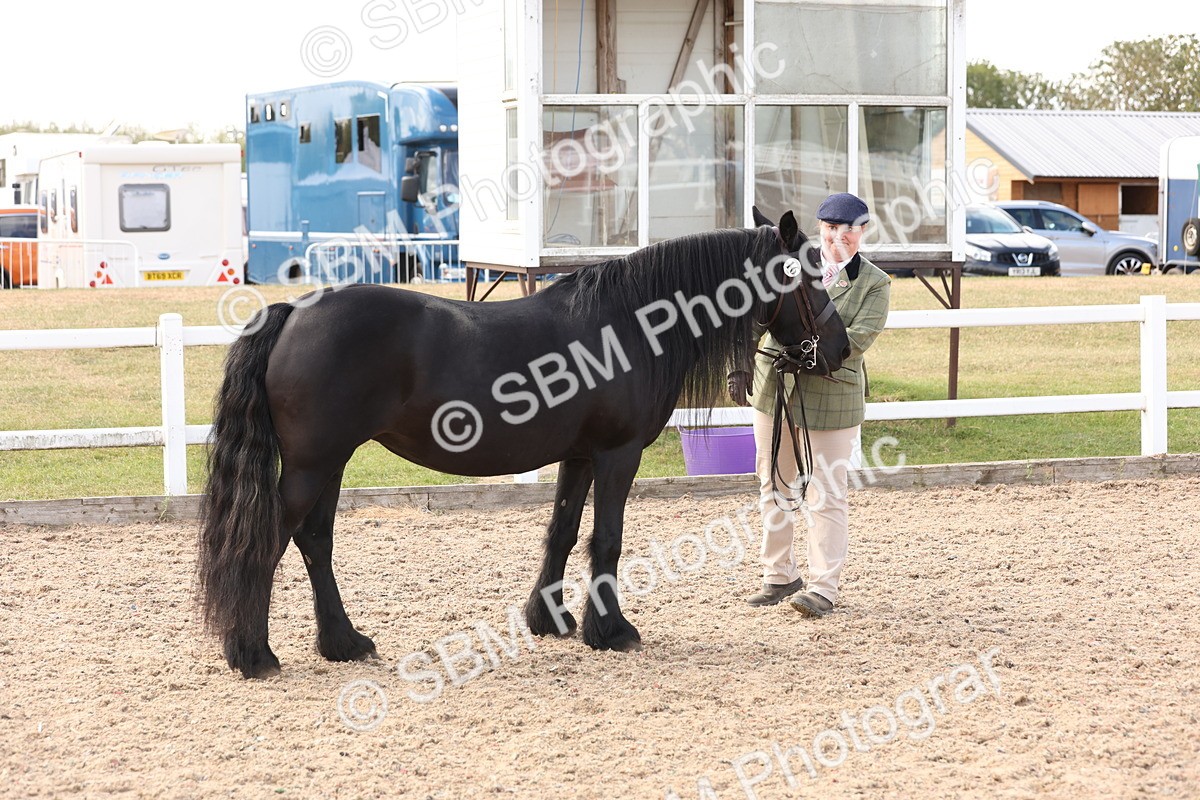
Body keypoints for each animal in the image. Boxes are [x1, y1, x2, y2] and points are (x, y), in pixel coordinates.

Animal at [197, 207, 851, 678]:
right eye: (809, 275)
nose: (840, 349)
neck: (630, 324)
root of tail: (292, 313)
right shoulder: (618, 454)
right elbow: (606, 539)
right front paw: (611, 630)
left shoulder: (580, 455)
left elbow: (561, 531)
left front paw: (550, 620)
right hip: (313, 465)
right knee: (269, 541)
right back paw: (253, 654)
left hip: (329, 464)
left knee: (314, 541)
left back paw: (343, 642)